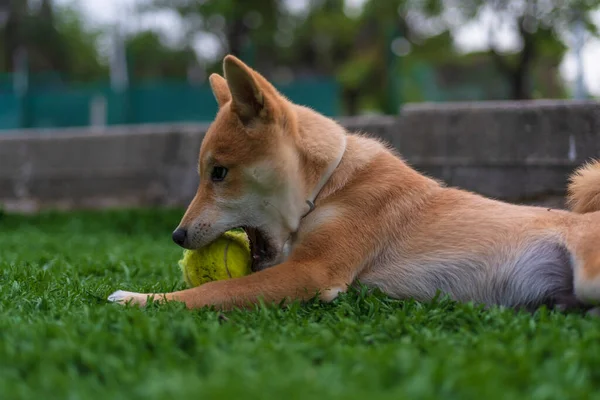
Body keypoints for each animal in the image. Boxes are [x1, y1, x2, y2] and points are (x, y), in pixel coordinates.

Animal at [108, 54, 600, 316]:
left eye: (219, 173)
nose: (177, 235)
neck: (330, 186)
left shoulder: (311, 272)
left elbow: (212, 291)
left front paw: (137, 297)